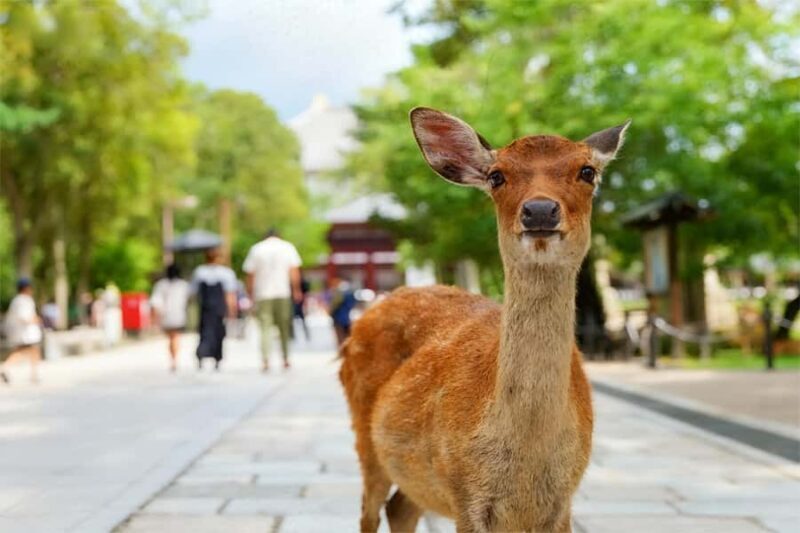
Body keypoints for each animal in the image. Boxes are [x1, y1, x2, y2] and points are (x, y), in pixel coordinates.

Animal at [339, 107, 629, 533]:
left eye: (587, 171)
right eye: (497, 176)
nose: (539, 210)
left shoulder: (563, 502)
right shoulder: (465, 495)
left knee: (400, 507)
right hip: (365, 437)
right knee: (369, 510)